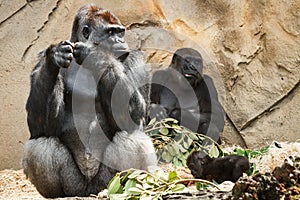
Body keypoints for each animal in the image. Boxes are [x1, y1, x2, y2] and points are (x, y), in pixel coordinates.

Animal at [22, 3, 157, 198]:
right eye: (110, 32)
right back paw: (56, 194)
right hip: (75, 186)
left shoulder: (136, 59)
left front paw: (95, 54)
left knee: (130, 136)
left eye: (120, 32)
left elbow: (135, 115)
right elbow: (39, 125)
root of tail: (89, 192)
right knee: (41, 143)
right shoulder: (40, 58)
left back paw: (126, 186)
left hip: (105, 182)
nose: (120, 41)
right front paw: (54, 57)